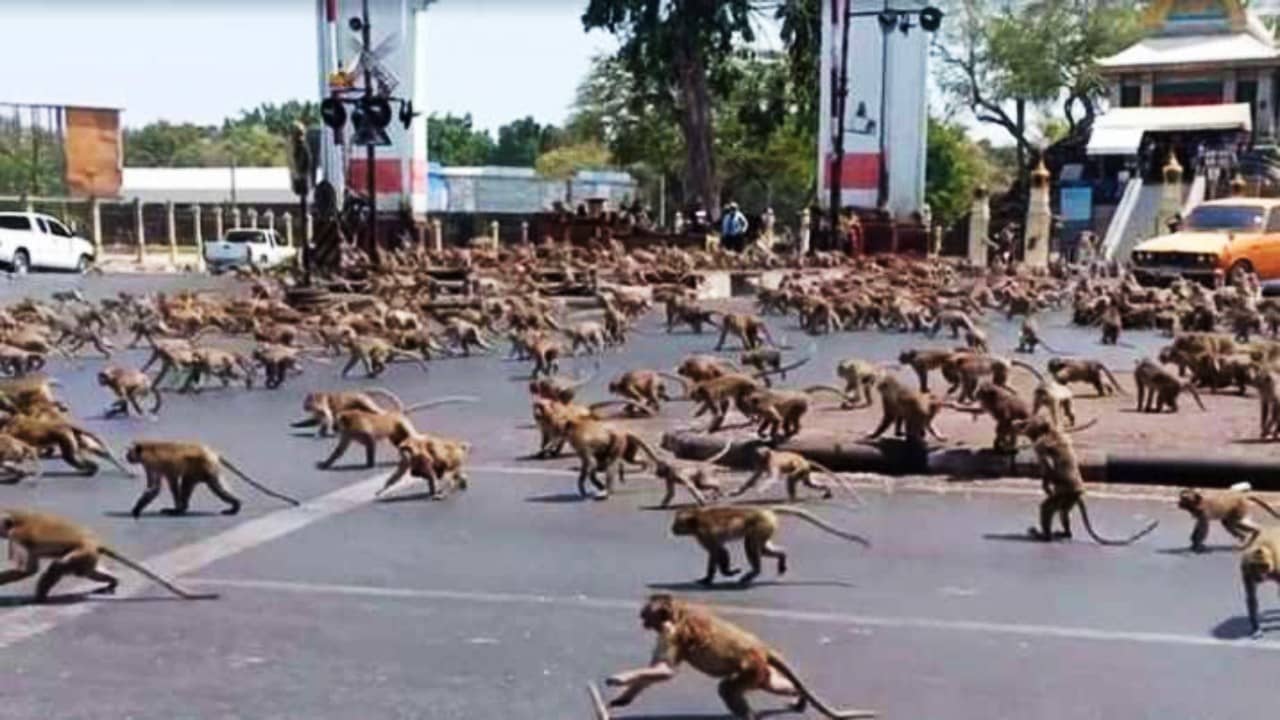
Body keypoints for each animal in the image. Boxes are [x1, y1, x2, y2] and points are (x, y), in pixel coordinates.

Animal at [0, 508, 218, 602]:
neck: (11, 518)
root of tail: (96, 542)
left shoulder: (17, 537)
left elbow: (26, 569)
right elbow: (28, 569)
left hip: (84, 552)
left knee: (60, 565)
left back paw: (40, 597)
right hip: (89, 556)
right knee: (87, 571)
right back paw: (113, 582)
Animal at [124, 440, 300, 517]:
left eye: (129, 453)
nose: (126, 457)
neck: (146, 448)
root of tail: (212, 453)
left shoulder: (152, 463)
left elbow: (155, 487)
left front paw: (136, 509)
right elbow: (169, 482)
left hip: (207, 466)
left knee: (213, 486)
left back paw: (235, 505)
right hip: (201, 468)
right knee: (189, 482)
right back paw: (182, 509)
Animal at [603, 594, 877, 719]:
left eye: (645, 615)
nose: (641, 621)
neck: (677, 612)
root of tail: (762, 647)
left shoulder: (673, 633)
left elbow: (664, 671)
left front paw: (618, 679)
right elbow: (656, 671)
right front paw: (621, 699)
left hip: (751, 667)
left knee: (727, 688)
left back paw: (748, 716)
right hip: (760, 671)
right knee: (771, 684)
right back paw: (799, 699)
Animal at [671, 505, 869, 586]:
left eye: (676, 524)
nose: (671, 529)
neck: (696, 520)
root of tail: (765, 510)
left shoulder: (704, 534)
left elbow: (719, 551)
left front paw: (727, 573)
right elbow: (715, 554)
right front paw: (707, 578)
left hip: (761, 525)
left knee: (750, 546)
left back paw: (753, 573)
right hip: (767, 527)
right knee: (763, 549)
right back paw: (782, 559)